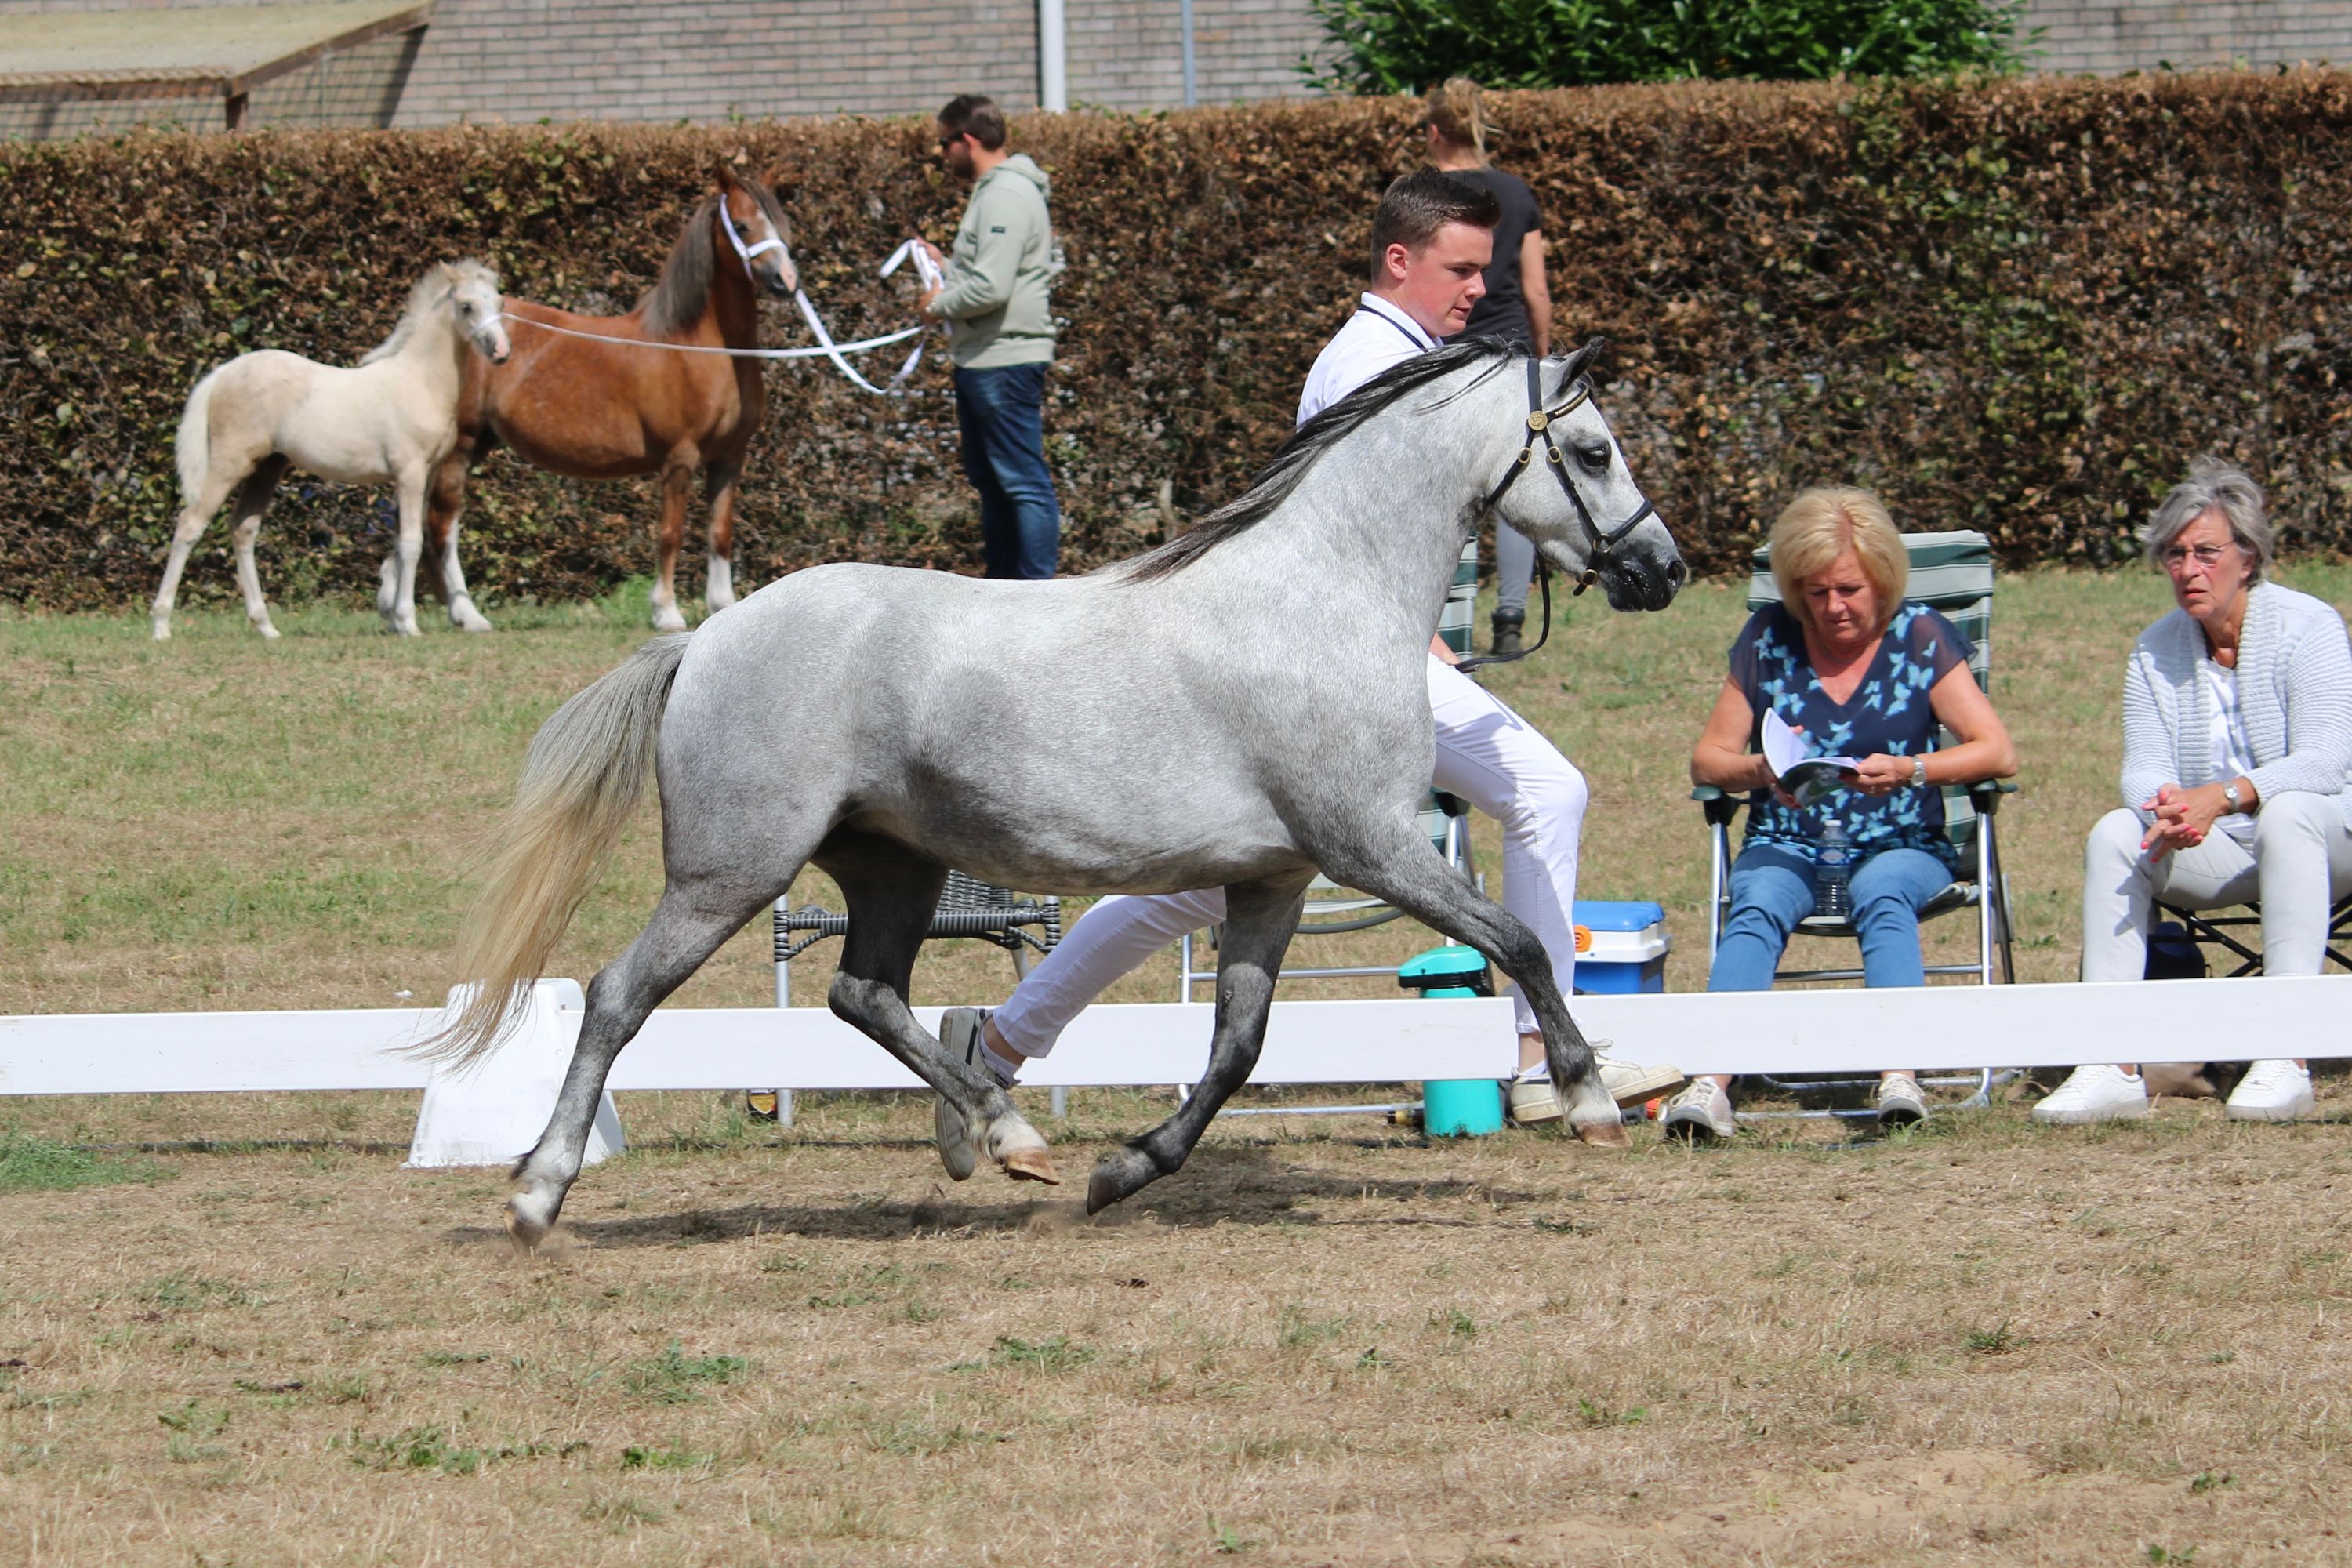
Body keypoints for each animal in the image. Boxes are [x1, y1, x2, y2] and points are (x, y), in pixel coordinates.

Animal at [151, 260, 511, 641]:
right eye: (467, 306)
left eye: (500, 302)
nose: (501, 351)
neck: (420, 381)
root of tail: (222, 374)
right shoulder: (409, 471)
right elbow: (413, 543)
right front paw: (409, 622)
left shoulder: (426, 475)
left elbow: (403, 543)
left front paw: (398, 621)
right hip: (228, 464)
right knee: (190, 525)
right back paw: (161, 625)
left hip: (267, 468)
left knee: (243, 529)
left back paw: (266, 626)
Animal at [422, 167, 798, 634]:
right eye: (744, 225)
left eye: (780, 222)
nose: (786, 280)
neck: (700, 346)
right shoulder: (680, 458)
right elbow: (670, 534)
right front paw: (666, 611)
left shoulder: (730, 458)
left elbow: (720, 534)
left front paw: (722, 605)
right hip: (462, 445)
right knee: (445, 523)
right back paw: (467, 614)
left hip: (476, 444)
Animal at [428, 337, 1685, 1248]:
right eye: (1593, 449)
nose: (1662, 569)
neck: (1318, 600)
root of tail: (706, 640)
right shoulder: (1372, 846)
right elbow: (1519, 942)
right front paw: (1588, 1102)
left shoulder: (1275, 881)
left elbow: (1238, 1045)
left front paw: (1122, 1172)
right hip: (730, 872)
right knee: (617, 996)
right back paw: (536, 1196)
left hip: (895, 866)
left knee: (864, 994)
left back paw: (1011, 1135)